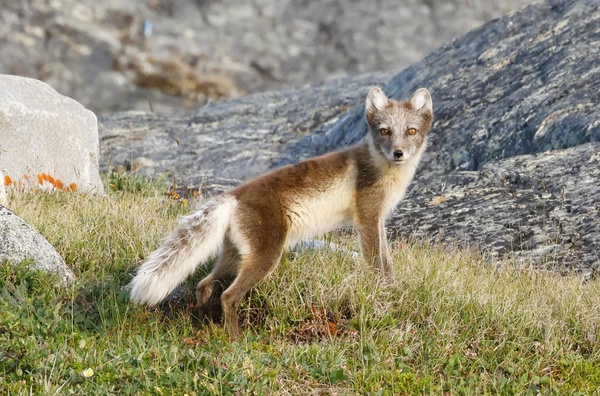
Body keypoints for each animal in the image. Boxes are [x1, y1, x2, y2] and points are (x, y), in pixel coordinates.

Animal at [129, 87, 434, 338]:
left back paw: (205, 324)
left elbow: (387, 260)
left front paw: (394, 287)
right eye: (384, 131)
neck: (385, 170)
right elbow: (376, 262)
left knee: (204, 285)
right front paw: (383, 291)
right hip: (267, 256)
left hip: (236, 255)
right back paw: (236, 339)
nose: (398, 153)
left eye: (411, 131)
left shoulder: (378, 219)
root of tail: (234, 195)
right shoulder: (367, 218)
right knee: (228, 296)